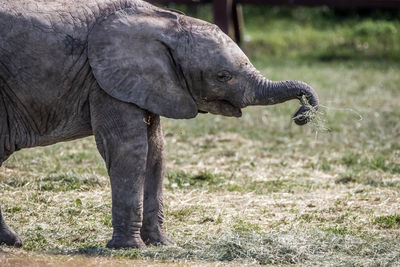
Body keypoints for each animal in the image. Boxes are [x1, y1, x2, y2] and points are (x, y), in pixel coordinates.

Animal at [0, 0, 318, 249]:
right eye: (223, 76)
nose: (302, 112)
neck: (162, 21)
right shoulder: (104, 80)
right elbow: (131, 150)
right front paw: (130, 248)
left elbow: (156, 152)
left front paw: (163, 245)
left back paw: (12, 242)